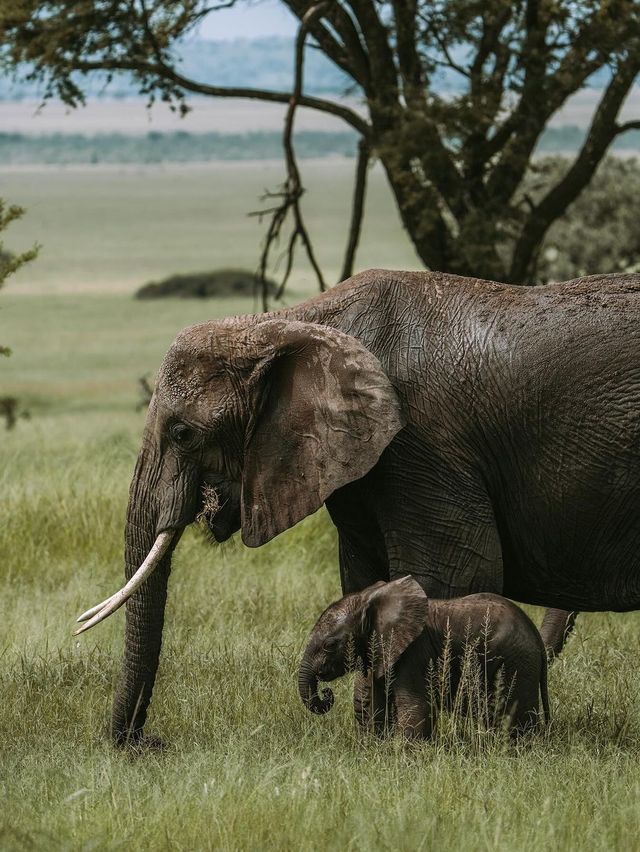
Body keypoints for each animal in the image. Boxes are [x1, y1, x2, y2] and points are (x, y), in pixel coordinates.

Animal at [300, 580, 552, 740]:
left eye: (330, 645)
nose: (326, 693)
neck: (369, 600)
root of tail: (537, 638)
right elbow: (374, 705)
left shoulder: (414, 652)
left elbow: (415, 706)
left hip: (518, 662)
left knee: (516, 715)